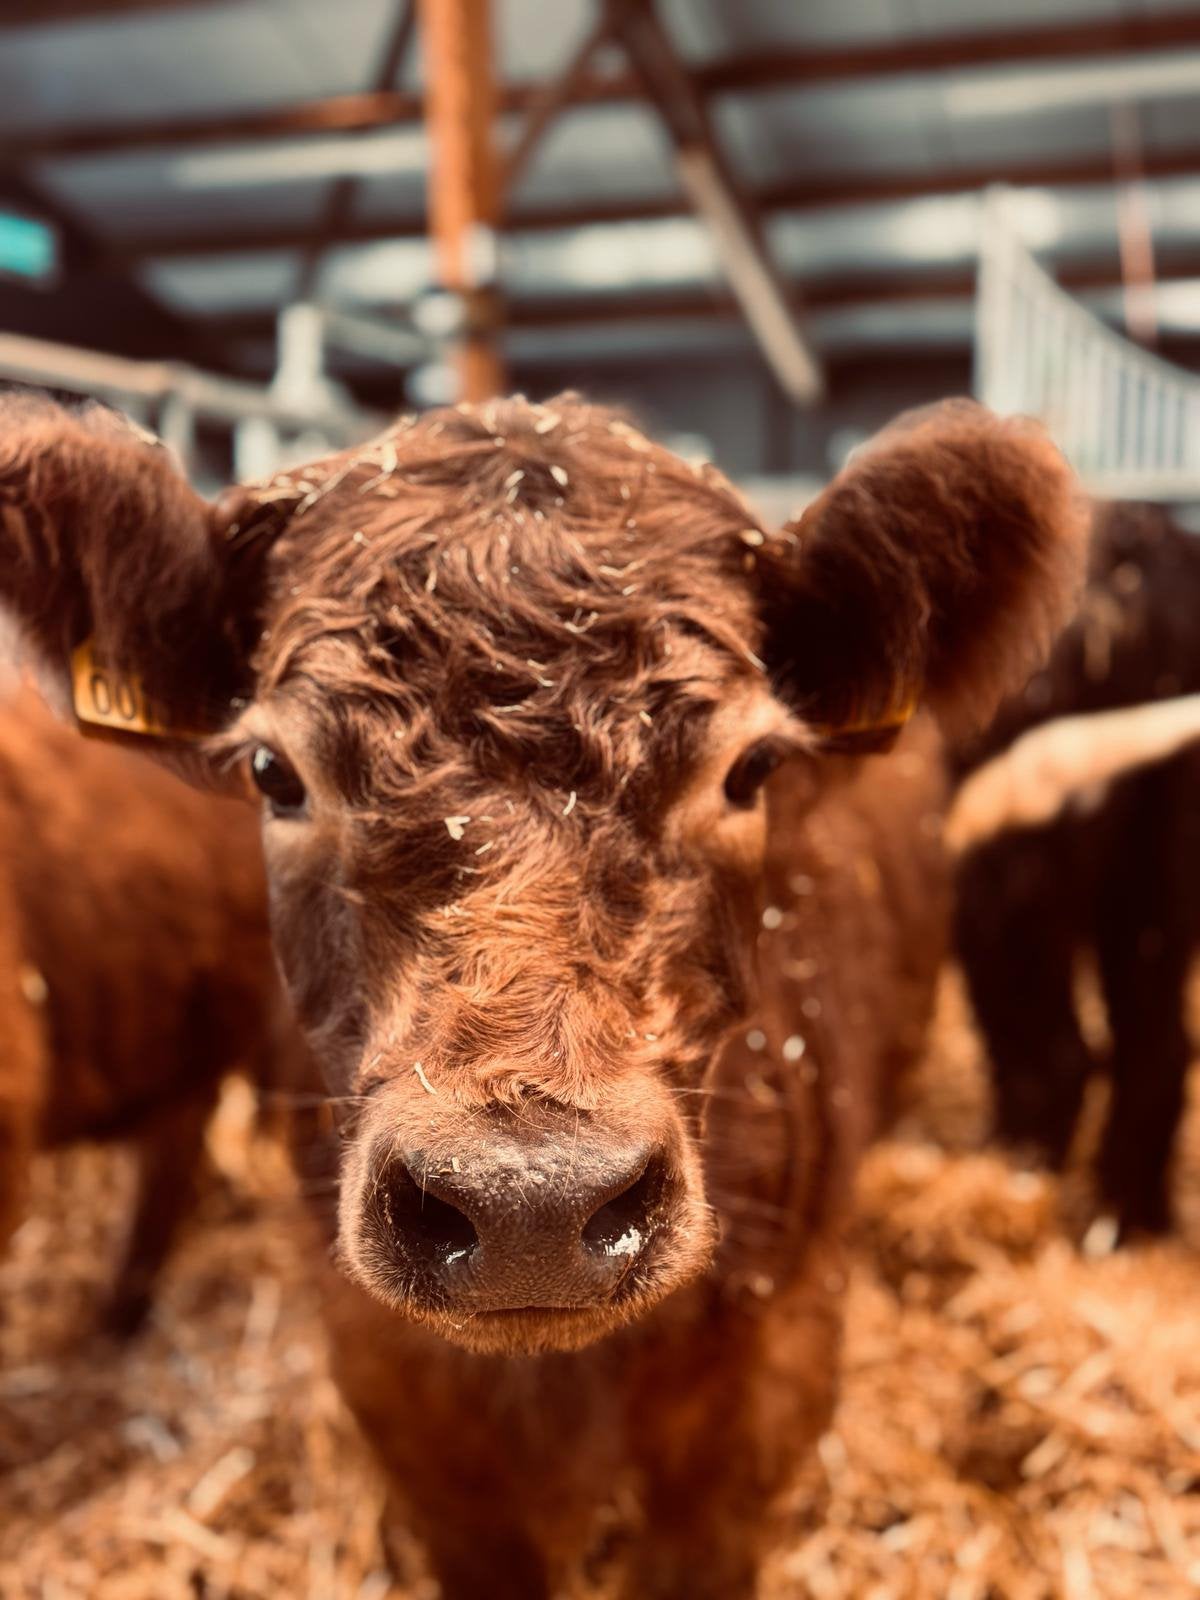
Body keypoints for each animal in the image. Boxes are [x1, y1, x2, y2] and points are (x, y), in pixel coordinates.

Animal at [950, 502, 1200, 1240]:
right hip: (1157, 864)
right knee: (1157, 1045)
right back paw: (1126, 1223)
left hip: (1012, 879)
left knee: (1055, 1055)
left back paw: (1008, 1177)